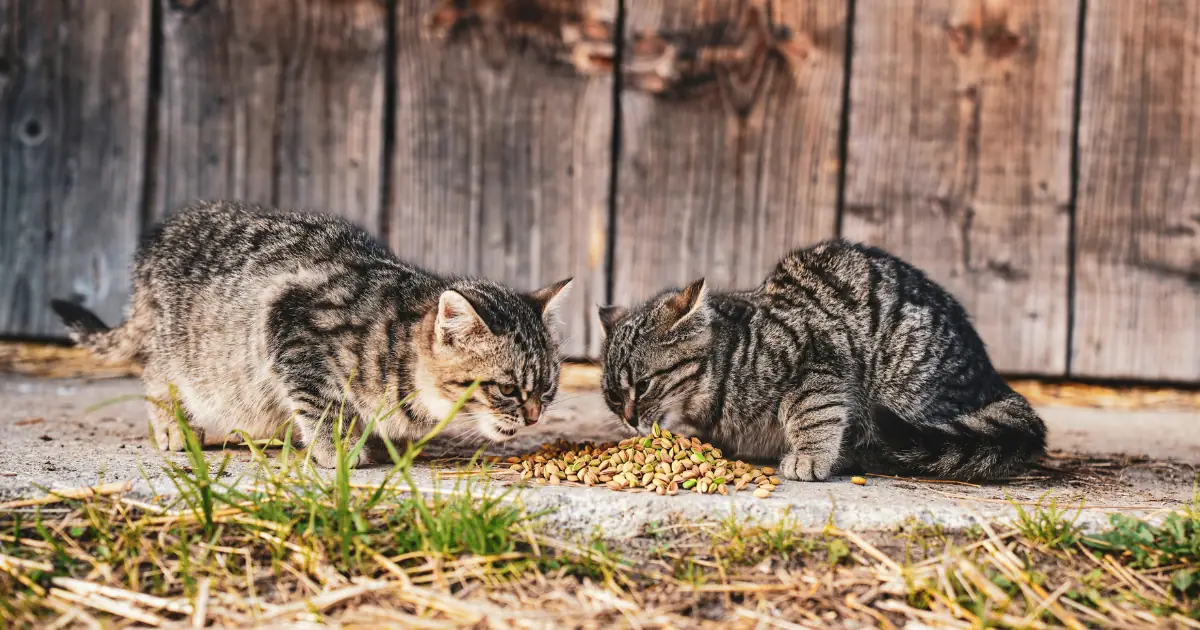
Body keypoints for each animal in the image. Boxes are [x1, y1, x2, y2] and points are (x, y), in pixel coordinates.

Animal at [56, 201, 576, 465]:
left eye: (547, 391)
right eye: (507, 389)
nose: (533, 417)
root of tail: (161, 237)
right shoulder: (290, 325)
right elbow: (323, 402)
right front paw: (339, 451)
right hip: (187, 348)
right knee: (155, 371)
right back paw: (172, 424)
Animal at [604, 238, 1046, 480]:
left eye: (643, 385)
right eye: (612, 397)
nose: (628, 418)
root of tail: (994, 382)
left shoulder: (817, 364)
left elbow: (813, 414)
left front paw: (809, 456)